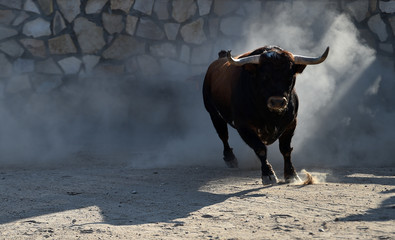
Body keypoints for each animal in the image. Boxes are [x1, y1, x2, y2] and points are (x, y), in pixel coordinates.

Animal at [203, 45, 330, 185]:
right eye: (264, 76)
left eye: (290, 76)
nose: (277, 102)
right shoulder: (244, 126)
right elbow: (260, 149)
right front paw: (268, 174)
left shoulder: (291, 123)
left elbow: (286, 149)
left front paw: (291, 174)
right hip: (214, 114)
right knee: (223, 136)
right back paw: (230, 158)